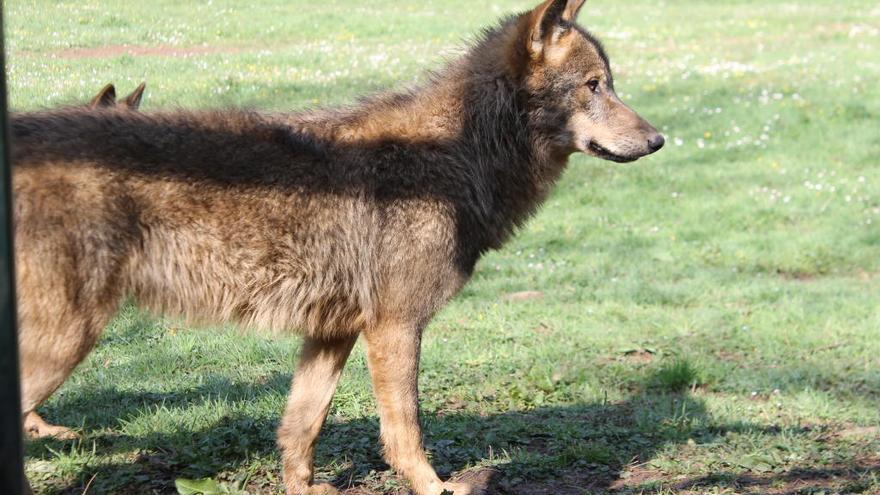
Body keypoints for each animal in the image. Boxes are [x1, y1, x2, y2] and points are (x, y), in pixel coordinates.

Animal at [12, 1, 660, 494]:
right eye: (594, 86)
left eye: (610, 85)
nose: (658, 140)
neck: (454, 154)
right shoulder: (396, 328)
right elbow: (405, 432)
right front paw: (434, 487)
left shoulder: (333, 333)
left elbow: (302, 428)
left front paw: (301, 488)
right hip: (62, 344)